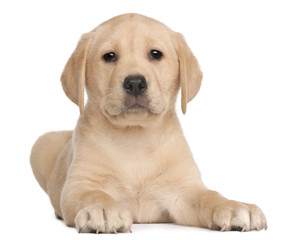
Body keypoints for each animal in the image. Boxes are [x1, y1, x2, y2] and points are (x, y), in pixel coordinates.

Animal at [31, 12, 268, 232]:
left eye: (155, 54)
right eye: (109, 56)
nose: (135, 83)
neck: (135, 138)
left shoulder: (184, 190)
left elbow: (209, 196)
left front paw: (233, 206)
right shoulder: (79, 185)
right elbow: (93, 194)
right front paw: (103, 209)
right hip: (41, 143)